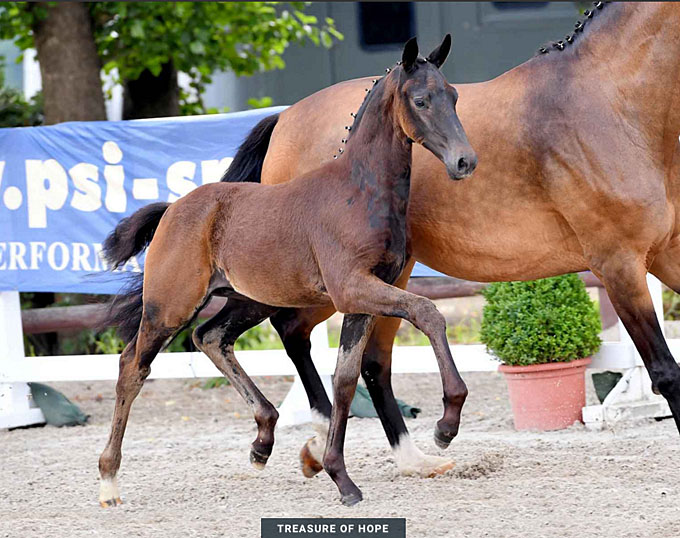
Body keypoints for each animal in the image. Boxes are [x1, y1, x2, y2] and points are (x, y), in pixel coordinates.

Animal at [98, 36, 476, 507]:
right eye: (421, 100)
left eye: (455, 96)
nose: (465, 161)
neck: (358, 193)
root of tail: (172, 209)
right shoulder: (354, 288)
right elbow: (428, 313)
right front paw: (446, 425)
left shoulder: (364, 297)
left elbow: (345, 378)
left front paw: (340, 476)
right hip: (169, 306)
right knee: (132, 367)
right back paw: (109, 480)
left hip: (251, 299)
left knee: (210, 337)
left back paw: (263, 441)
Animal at [220, 1, 680, 479]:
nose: (464, 162)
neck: (608, 102)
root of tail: (284, 118)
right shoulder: (619, 264)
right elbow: (665, 371)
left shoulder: (667, 254)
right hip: (324, 281)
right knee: (285, 331)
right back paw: (313, 436)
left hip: (388, 275)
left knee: (368, 360)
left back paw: (401, 455)